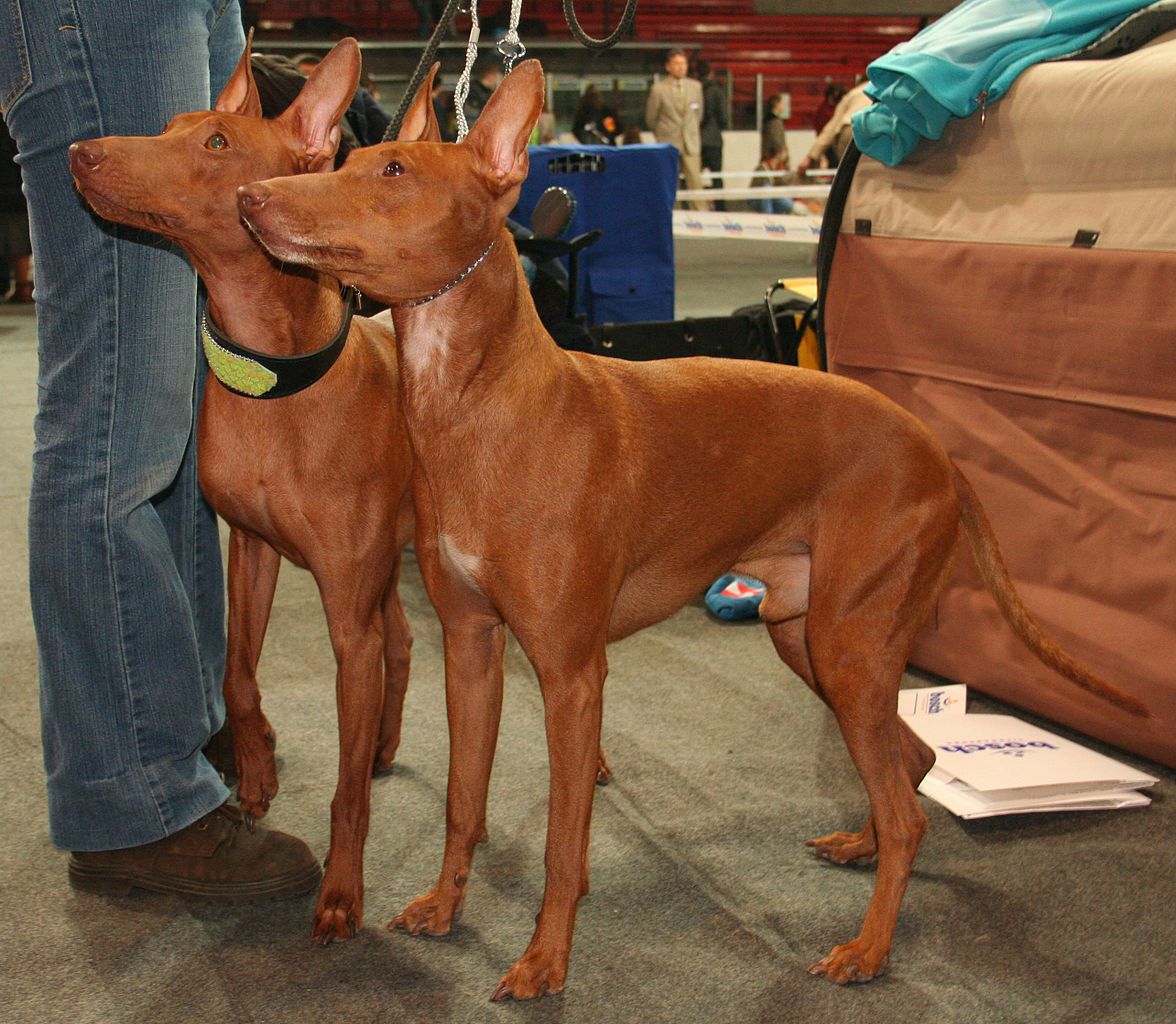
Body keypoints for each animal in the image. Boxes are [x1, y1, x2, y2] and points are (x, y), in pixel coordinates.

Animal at [236, 59, 1147, 996]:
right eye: (351, 159)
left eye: (391, 171)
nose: (251, 197)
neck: (477, 403)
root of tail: (936, 448)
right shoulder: (471, 645)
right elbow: (463, 802)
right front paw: (445, 906)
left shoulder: (572, 674)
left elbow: (564, 840)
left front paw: (545, 959)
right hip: (811, 638)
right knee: (912, 772)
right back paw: (860, 847)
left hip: (849, 645)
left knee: (907, 811)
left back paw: (867, 949)